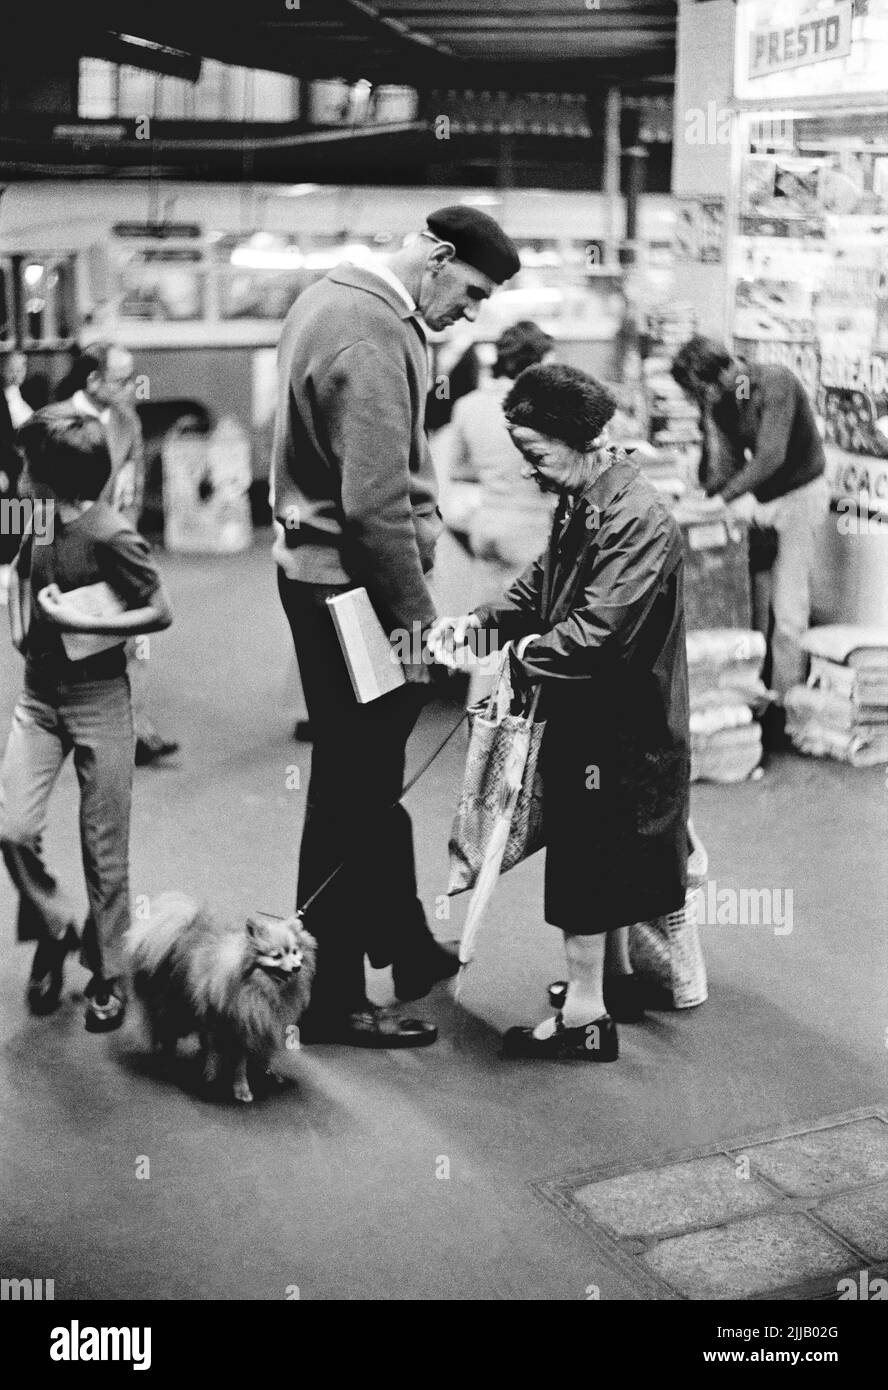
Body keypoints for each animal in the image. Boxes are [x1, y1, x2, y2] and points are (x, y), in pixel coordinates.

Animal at [123, 895, 318, 1100]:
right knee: (167, 1036)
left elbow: (264, 1054)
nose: (296, 967)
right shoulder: (238, 1026)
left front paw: (266, 1072)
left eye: (295, 952)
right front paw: (241, 1089)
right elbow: (240, 1064)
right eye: (277, 956)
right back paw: (175, 1061)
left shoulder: (263, 1024)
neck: (261, 988)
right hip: (174, 1009)